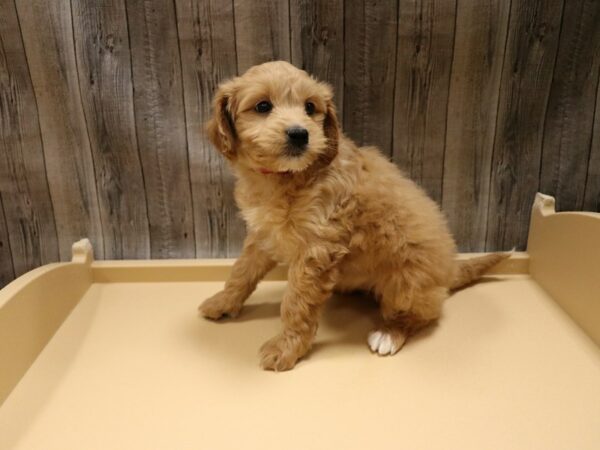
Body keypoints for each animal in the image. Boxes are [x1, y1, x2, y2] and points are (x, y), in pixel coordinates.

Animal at [199, 61, 508, 370]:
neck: (285, 176)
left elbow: (296, 303)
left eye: (310, 107)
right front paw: (222, 302)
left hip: (407, 283)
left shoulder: (316, 249)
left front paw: (285, 348)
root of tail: (450, 270)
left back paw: (389, 334)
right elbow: (242, 271)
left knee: (421, 315)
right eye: (263, 106)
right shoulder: (264, 233)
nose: (300, 134)